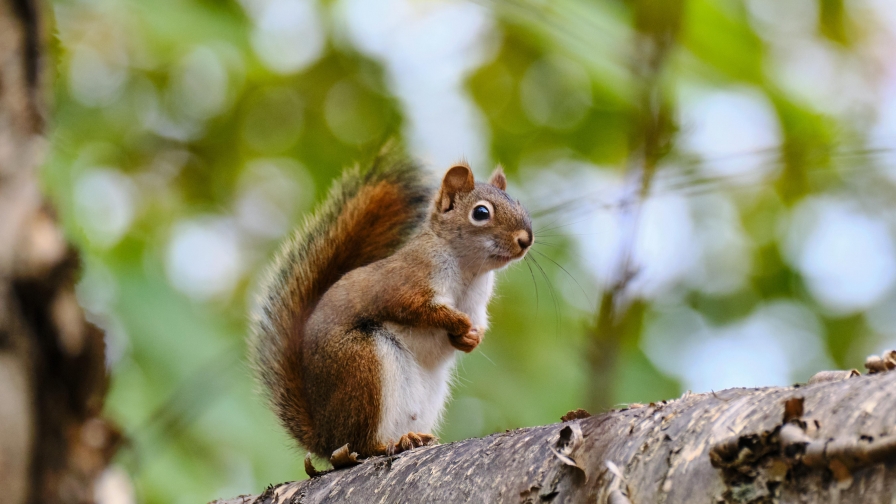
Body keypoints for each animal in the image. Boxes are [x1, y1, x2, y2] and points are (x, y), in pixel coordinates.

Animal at [249, 146, 533, 471]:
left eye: (519, 203)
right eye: (481, 213)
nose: (526, 239)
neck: (469, 270)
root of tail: (324, 436)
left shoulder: (477, 304)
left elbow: (475, 327)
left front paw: (471, 337)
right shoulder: (406, 283)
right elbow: (416, 309)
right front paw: (457, 323)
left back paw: (414, 437)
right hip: (362, 367)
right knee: (358, 444)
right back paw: (389, 444)